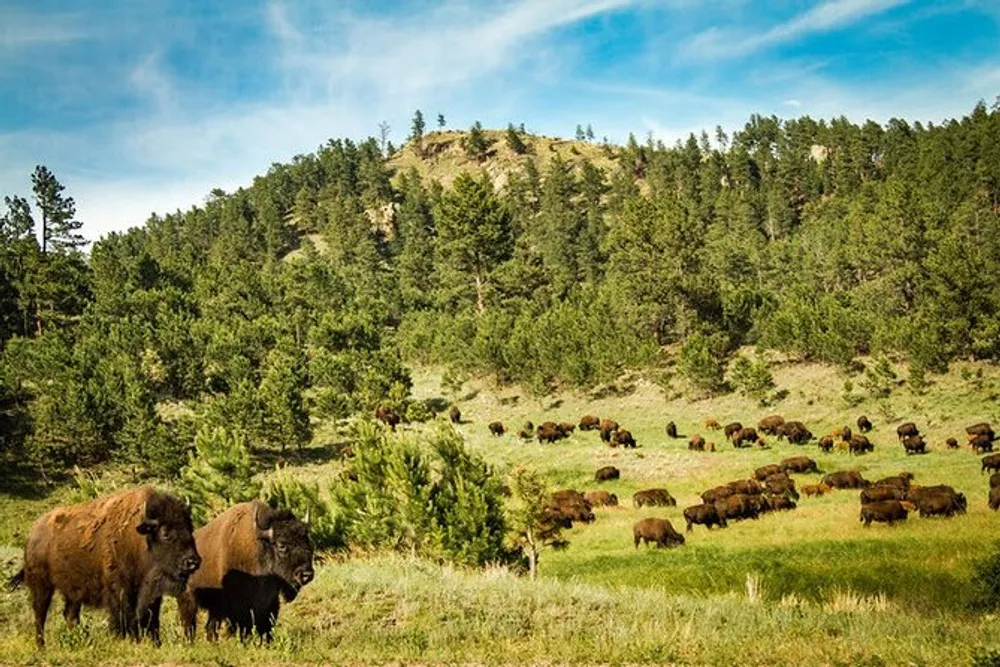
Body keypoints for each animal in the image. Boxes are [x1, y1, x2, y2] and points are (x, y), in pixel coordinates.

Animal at [10, 486, 199, 648]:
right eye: (166, 533)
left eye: (190, 528)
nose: (193, 561)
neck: (137, 540)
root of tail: (33, 533)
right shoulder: (120, 591)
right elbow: (124, 617)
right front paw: (128, 641)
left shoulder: (152, 594)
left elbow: (152, 620)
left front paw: (156, 644)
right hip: (41, 586)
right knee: (40, 615)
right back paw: (41, 646)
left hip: (72, 592)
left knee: (70, 614)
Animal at [178, 500, 312, 640]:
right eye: (281, 545)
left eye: (308, 542)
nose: (306, 574)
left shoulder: (270, 602)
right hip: (188, 597)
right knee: (189, 622)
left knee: (211, 625)